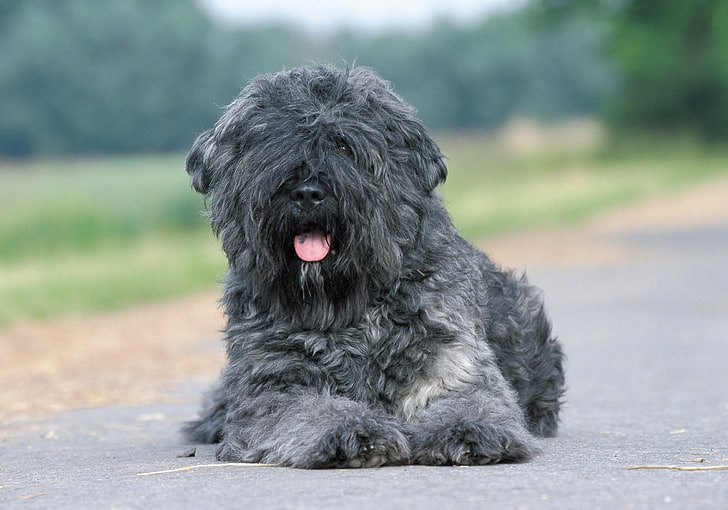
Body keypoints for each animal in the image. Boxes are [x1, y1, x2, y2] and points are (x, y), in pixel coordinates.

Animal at [182, 65, 564, 468]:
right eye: (275, 145)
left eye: (344, 146)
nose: (308, 193)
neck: (346, 304)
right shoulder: (272, 384)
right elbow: (311, 409)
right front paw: (354, 432)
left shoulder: (451, 360)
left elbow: (473, 400)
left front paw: (468, 430)